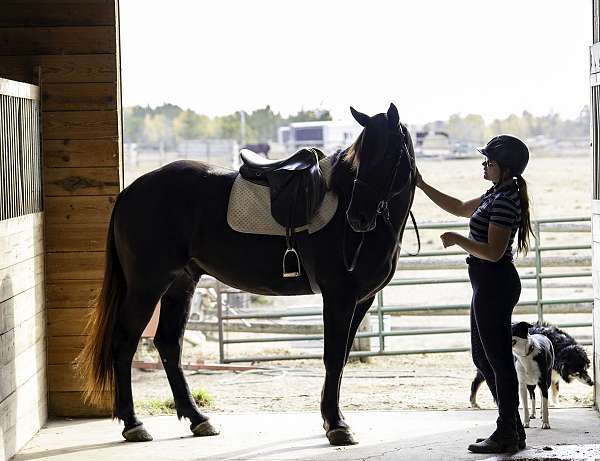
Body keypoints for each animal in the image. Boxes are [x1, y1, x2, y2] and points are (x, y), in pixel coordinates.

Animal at [76, 102, 418, 444]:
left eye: (390, 154)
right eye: (360, 157)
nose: (358, 218)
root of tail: (130, 192)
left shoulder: (361, 301)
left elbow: (342, 357)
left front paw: (330, 419)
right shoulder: (339, 297)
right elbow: (333, 357)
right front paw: (337, 425)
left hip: (180, 284)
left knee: (169, 345)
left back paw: (198, 419)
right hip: (147, 286)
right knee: (125, 342)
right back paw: (133, 423)